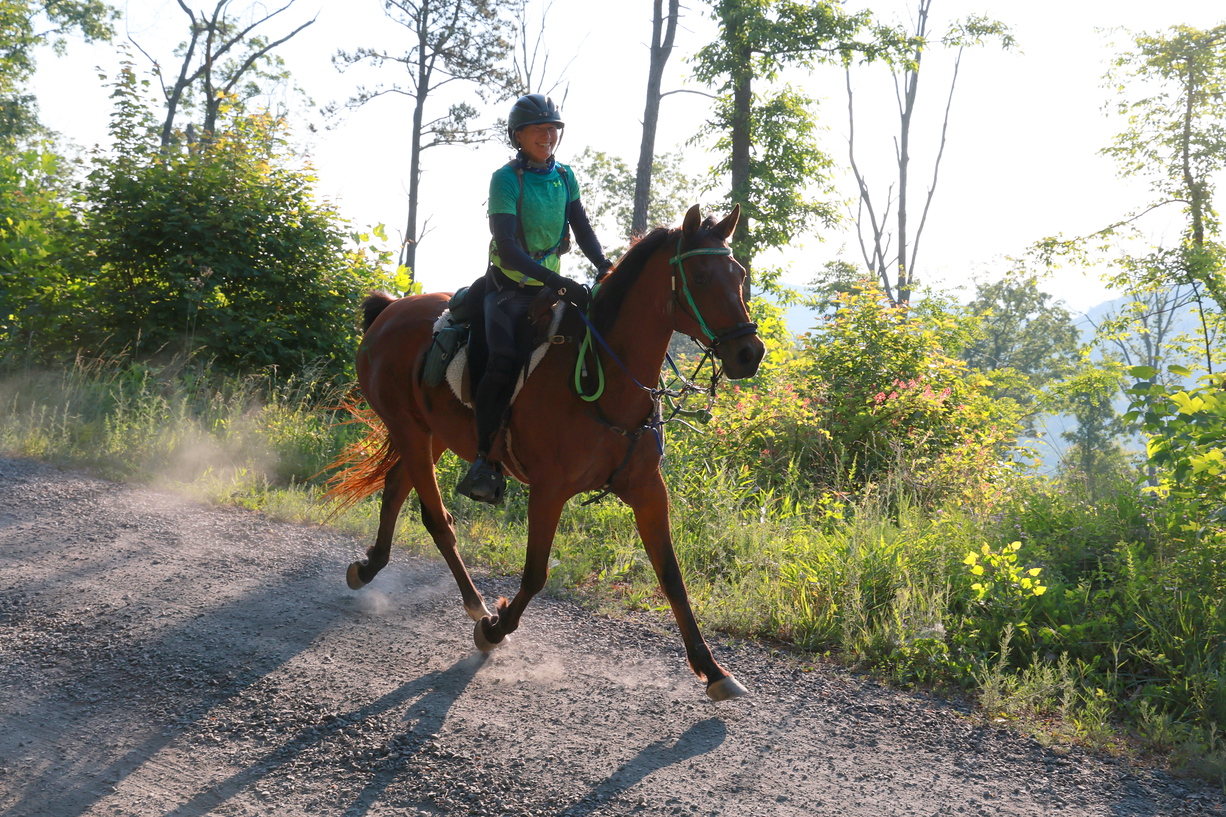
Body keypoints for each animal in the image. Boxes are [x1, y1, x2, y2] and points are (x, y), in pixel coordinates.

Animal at [326, 203, 765, 701]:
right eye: (703, 277)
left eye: (739, 274)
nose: (749, 352)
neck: (602, 376)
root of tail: (389, 310)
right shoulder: (549, 490)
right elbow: (536, 573)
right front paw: (494, 630)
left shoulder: (648, 490)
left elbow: (671, 576)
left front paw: (714, 670)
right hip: (409, 430)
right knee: (436, 519)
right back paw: (477, 606)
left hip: (430, 434)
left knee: (398, 486)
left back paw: (370, 567)